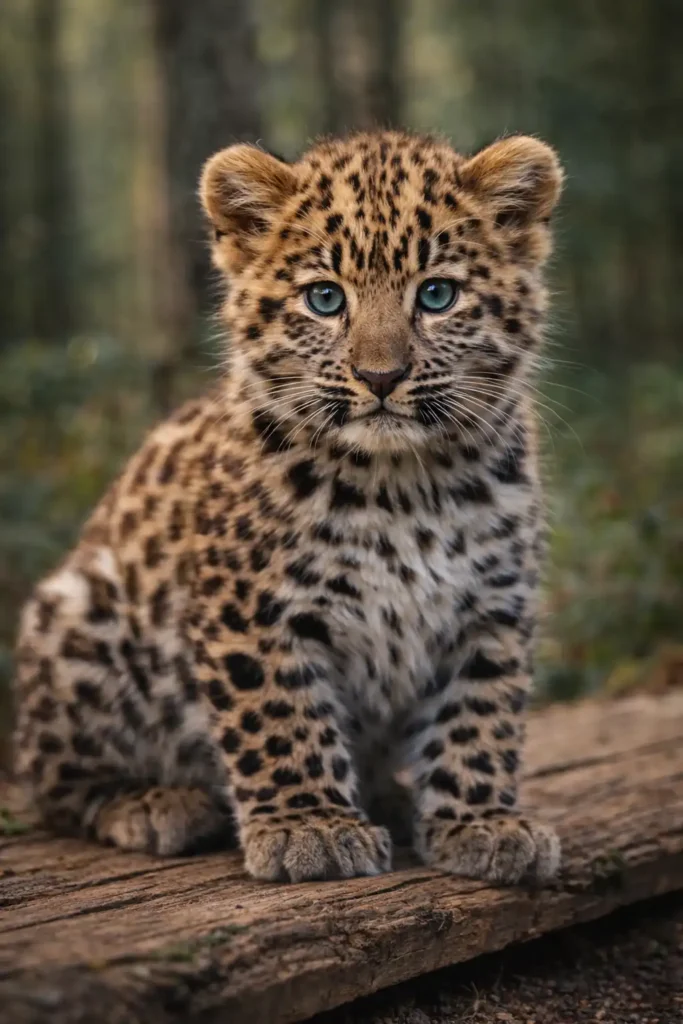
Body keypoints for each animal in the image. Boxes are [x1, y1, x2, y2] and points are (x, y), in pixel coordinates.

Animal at [12, 128, 564, 885]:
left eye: (437, 294)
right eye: (325, 299)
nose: (381, 376)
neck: (404, 486)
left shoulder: (491, 609)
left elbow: (480, 715)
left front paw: (481, 822)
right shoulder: (250, 611)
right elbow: (278, 716)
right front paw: (311, 827)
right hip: (79, 613)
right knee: (52, 784)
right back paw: (157, 805)